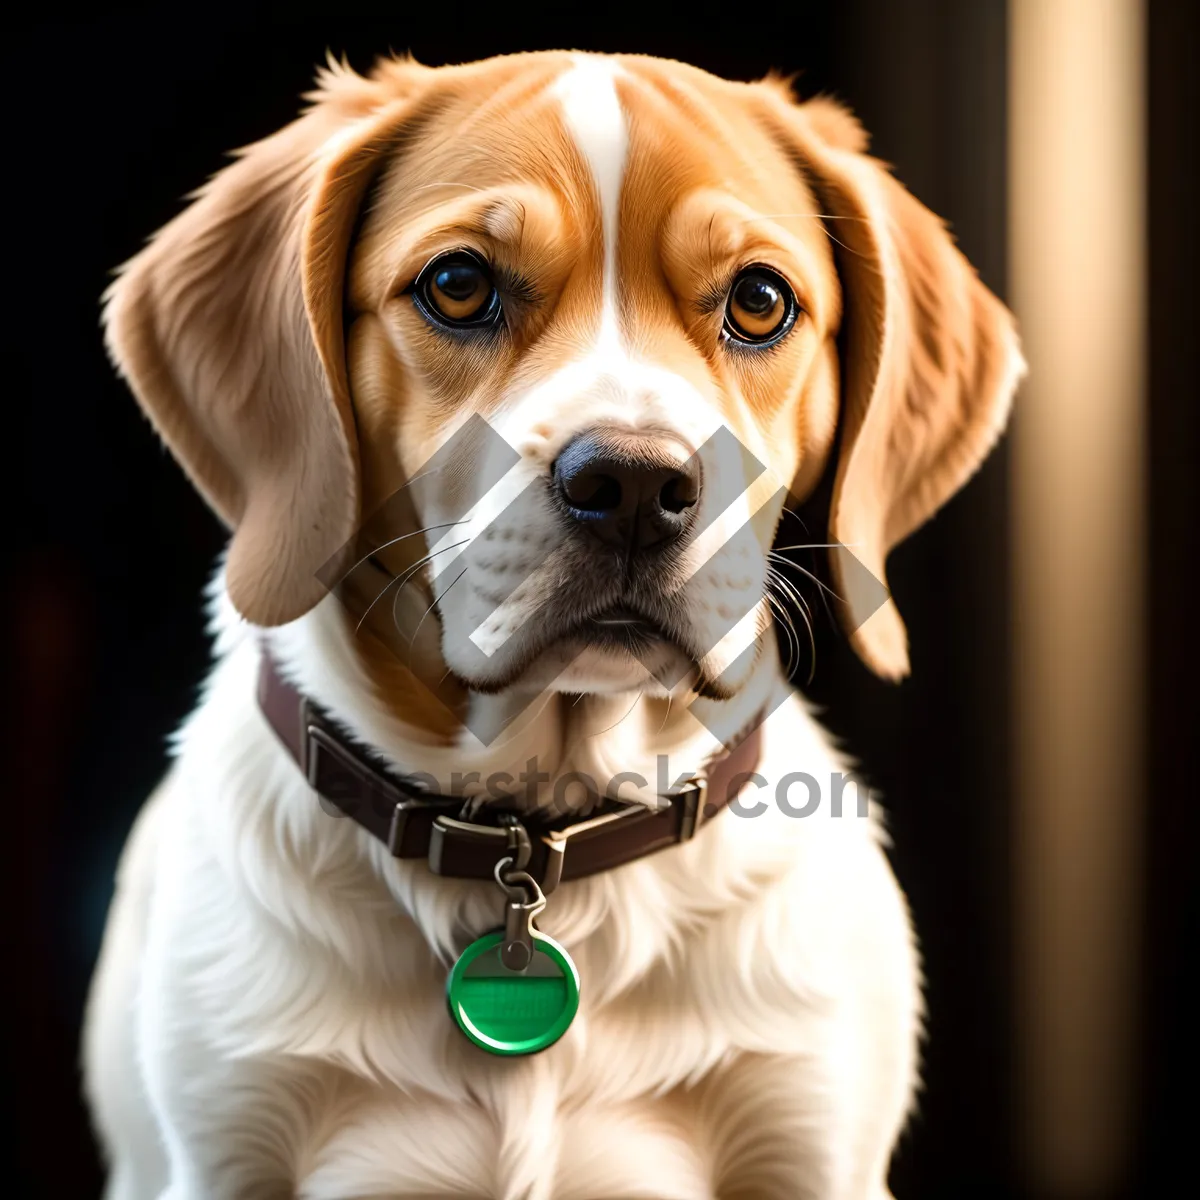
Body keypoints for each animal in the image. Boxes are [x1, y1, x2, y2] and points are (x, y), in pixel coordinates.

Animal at [82, 49, 1022, 1200]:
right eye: (458, 285)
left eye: (760, 301)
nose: (635, 485)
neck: (542, 834)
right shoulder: (217, 1156)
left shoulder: (812, 1152)